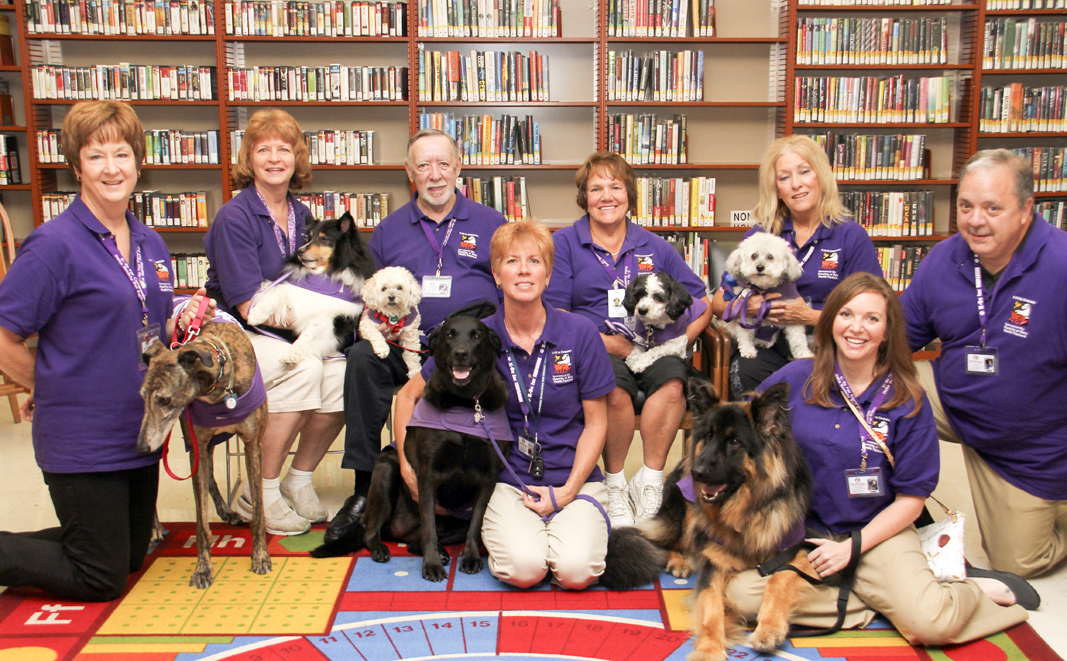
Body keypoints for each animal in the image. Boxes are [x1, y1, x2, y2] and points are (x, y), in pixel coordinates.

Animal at [244, 212, 377, 365]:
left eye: (324, 238)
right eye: (308, 238)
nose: (299, 251)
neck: (322, 277)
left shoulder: (331, 318)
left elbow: (309, 334)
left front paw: (291, 354)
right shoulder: (292, 291)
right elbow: (273, 297)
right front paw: (255, 315)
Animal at [311, 313, 510, 580]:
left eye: (477, 335)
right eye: (450, 335)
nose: (460, 353)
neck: (466, 404)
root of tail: (398, 532)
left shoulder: (488, 477)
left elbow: (476, 524)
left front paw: (470, 557)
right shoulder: (426, 477)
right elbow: (429, 527)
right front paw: (432, 566)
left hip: (454, 522)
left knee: (418, 542)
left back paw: (442, 553)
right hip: (387, 470)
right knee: (371, 529)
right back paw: (383, 549)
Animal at [601, 380, 815, 657]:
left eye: (734, 441)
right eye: (708, 437)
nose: (696, 472)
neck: (744, 510)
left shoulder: (796, 550)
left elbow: (780, 579)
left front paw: (769, 629)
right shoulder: (714, 563)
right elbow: (711, 608)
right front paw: (709, 648)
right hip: (685, 514)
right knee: (665, 542)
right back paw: (678, 561)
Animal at [721, 230, 810, 358]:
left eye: (770, 257)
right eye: (754, 256)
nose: (760, 267)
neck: (765, 289)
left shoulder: (793, 316)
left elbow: (798, 339)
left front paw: (804, 354)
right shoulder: (746, 314)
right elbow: (745, 334)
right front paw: (748, 350)